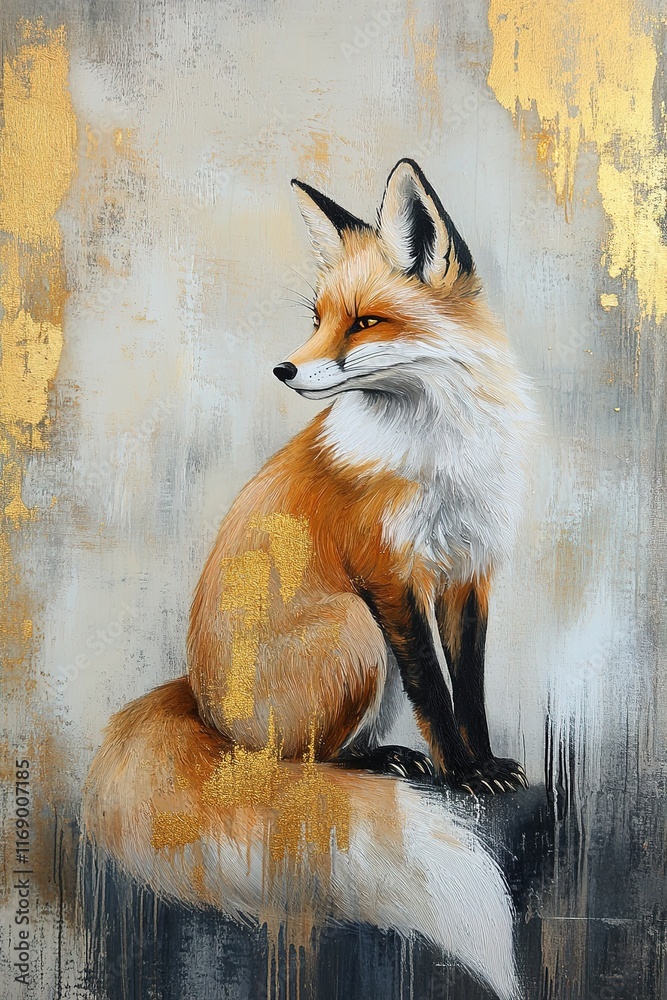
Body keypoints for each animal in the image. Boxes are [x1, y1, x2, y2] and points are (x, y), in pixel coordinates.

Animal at [83, 159, 536, 1000]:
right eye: (319, 317)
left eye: (364, 323)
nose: (284, 369)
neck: (438, 452)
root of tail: (200, 707)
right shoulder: (390, 577)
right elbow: (434, 691)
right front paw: (459, 774)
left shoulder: (468, 572)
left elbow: (470, 686)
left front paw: (484, 766)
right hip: (354, 629)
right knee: (297, 766)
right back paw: (378, 762)